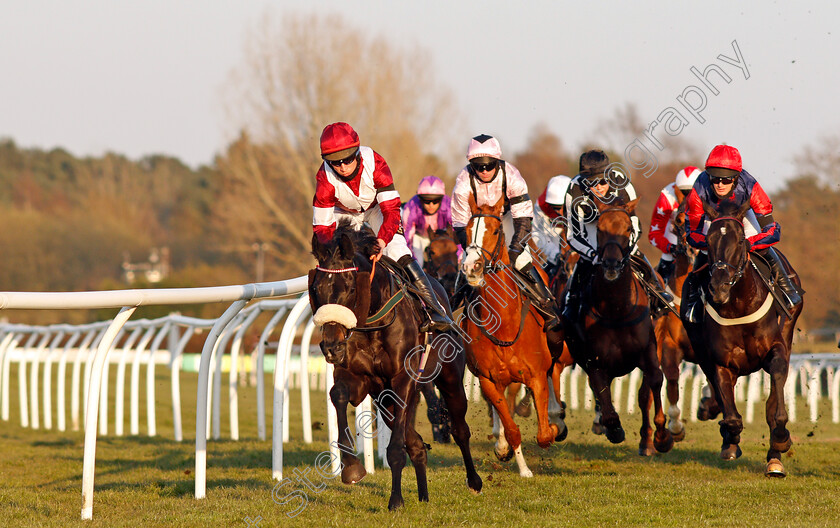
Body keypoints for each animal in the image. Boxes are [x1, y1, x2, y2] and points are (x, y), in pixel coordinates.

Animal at [308, 221, 482, 510]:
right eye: (316, 289)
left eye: (350, 288)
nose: (331, 347)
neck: (373, 321)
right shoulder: (357, 378)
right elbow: (338, 394)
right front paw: (351, 466)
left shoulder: (403, 379)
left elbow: (396, 449)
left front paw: (396, 500)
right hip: (384, 400)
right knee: (417, 444)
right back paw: (423, 495)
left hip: (450, 380)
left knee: (460, 430)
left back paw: (474, 481)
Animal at [456, 194, 568, 478]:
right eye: (467, 231)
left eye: (496, 230)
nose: (472, 268)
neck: (503, 323)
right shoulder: (488, 380)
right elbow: (511, 428)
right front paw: (513, 457)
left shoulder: (536, 376)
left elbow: (544, 434)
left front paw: (554, 426)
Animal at [564, 196, 676, 456]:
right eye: (600, 229)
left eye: (627, 228)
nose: (612, 264)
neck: (616, 309)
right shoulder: (593, 360)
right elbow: (601, 393)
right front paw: (613, 428)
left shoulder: (648, 349)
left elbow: (654, 381)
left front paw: (662, 436)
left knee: (644, 394)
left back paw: (647, 442)